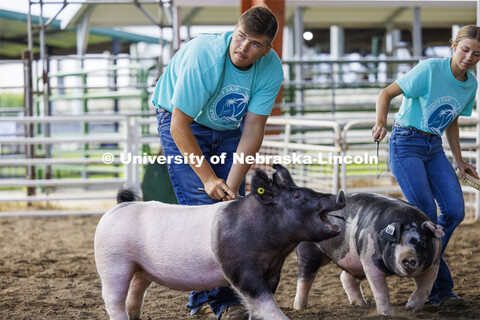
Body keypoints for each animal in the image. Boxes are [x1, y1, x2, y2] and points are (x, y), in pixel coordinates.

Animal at [93, 165, 344, 320]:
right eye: (298, 196)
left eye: (308, 190)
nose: (339, 195)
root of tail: (120, 205)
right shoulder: (240, 269)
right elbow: (267, 305)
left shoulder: (273, 270)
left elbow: (259, 306)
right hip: (112, 262)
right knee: (113, 300)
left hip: (141, 269)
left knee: (135, 293)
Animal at [294, 192, 444, 316]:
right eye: (394, 243)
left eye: (422, 242)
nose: (408, 258)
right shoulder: (369, 261)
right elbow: (380, 290)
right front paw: (387, 315)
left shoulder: (435, 262)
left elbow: (425, 288)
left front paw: (410, 309)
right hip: (308, 250)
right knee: (304, 277)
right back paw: (299, 308)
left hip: (356, 262)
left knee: (345, 277)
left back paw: (361, 304)